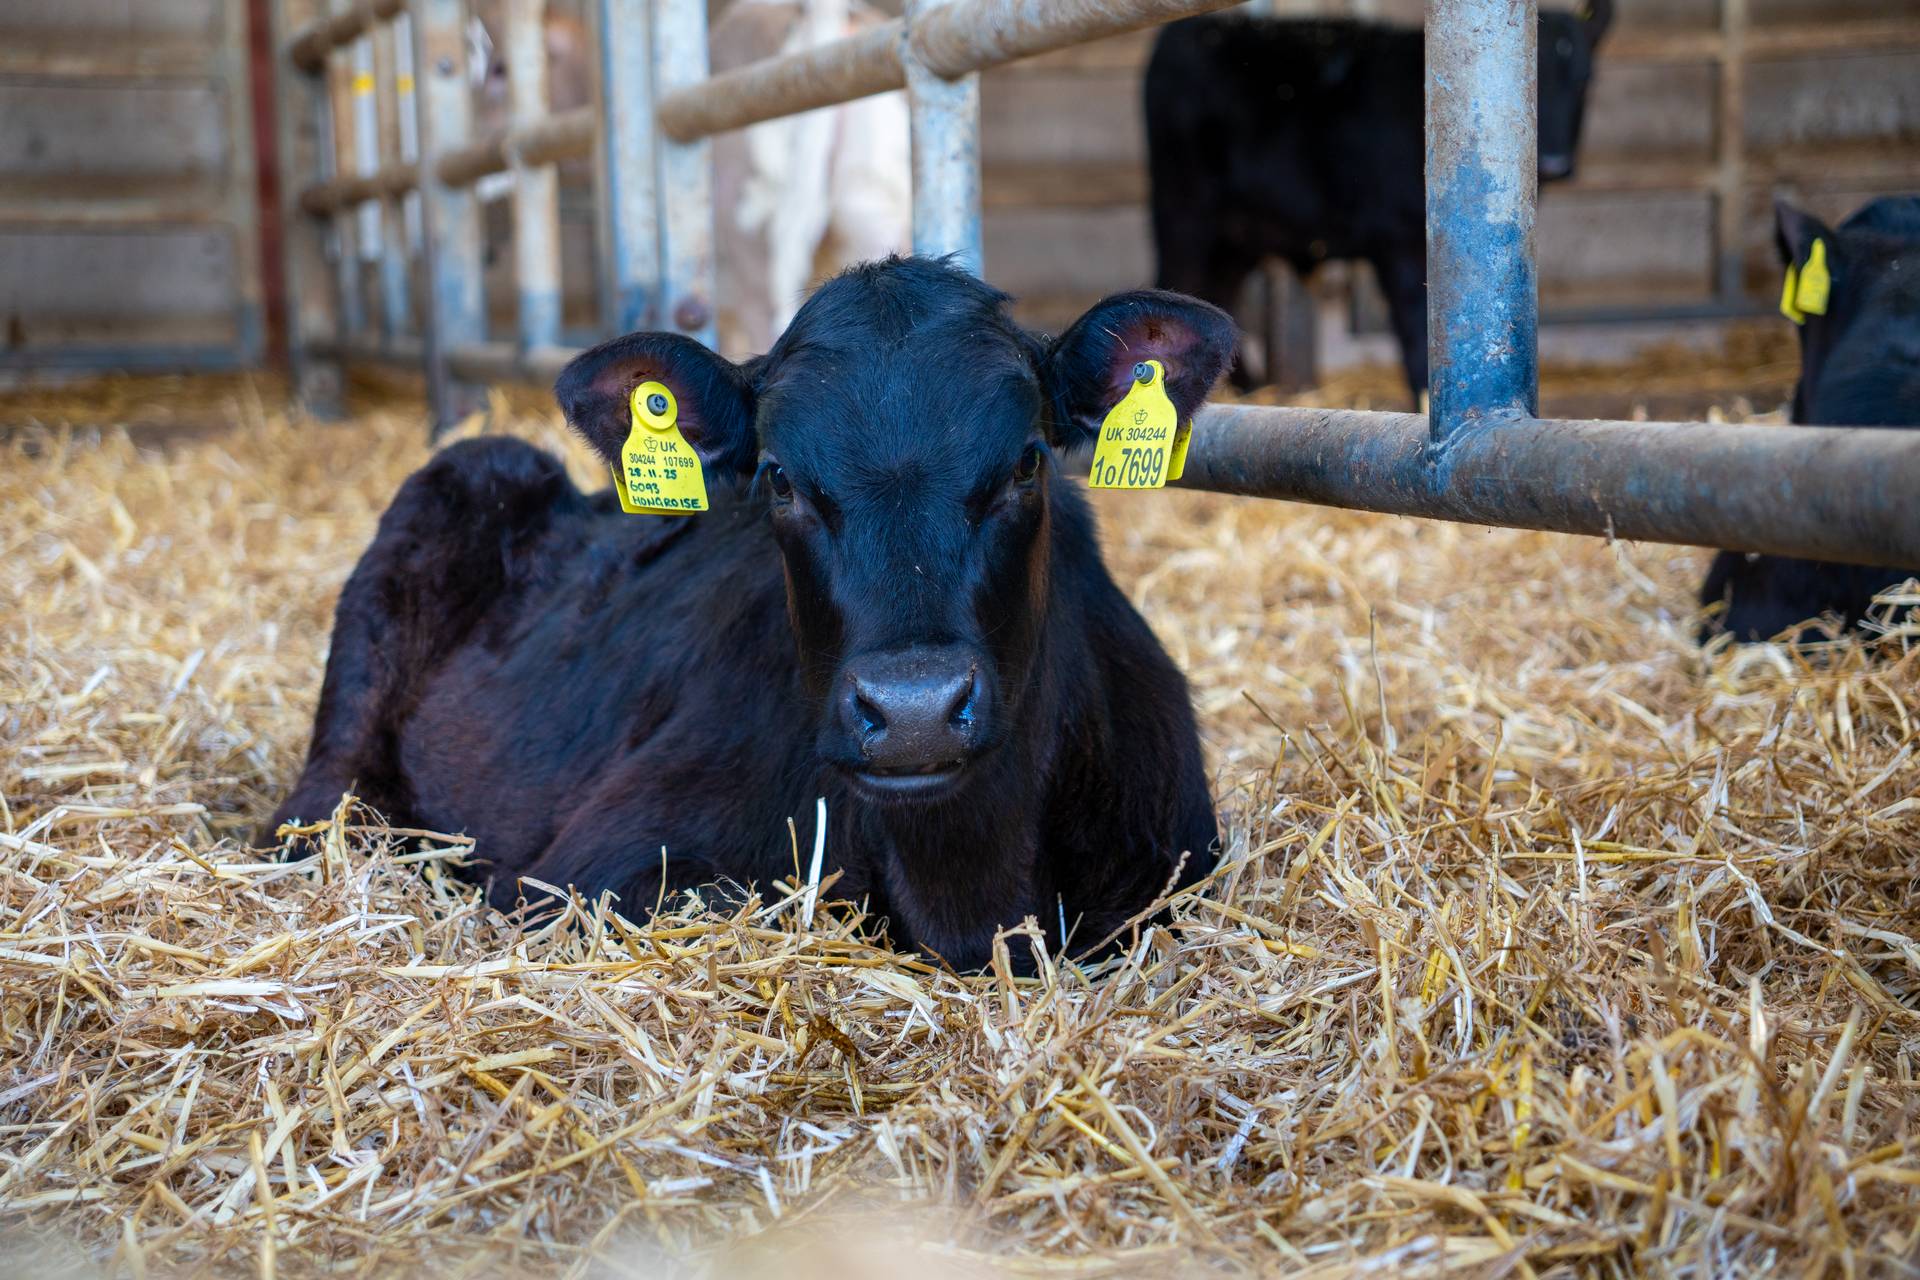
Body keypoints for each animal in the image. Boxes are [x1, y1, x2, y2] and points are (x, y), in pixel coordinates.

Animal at [1144, 1, 1612, 397]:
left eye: (1584, 80)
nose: (1555, 163)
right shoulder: (1399, 243)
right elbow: (1416, 331)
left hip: (1238, 235)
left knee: (1216, 296)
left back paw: (1250, 389)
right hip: (1184, 212)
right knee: (1178, 283)